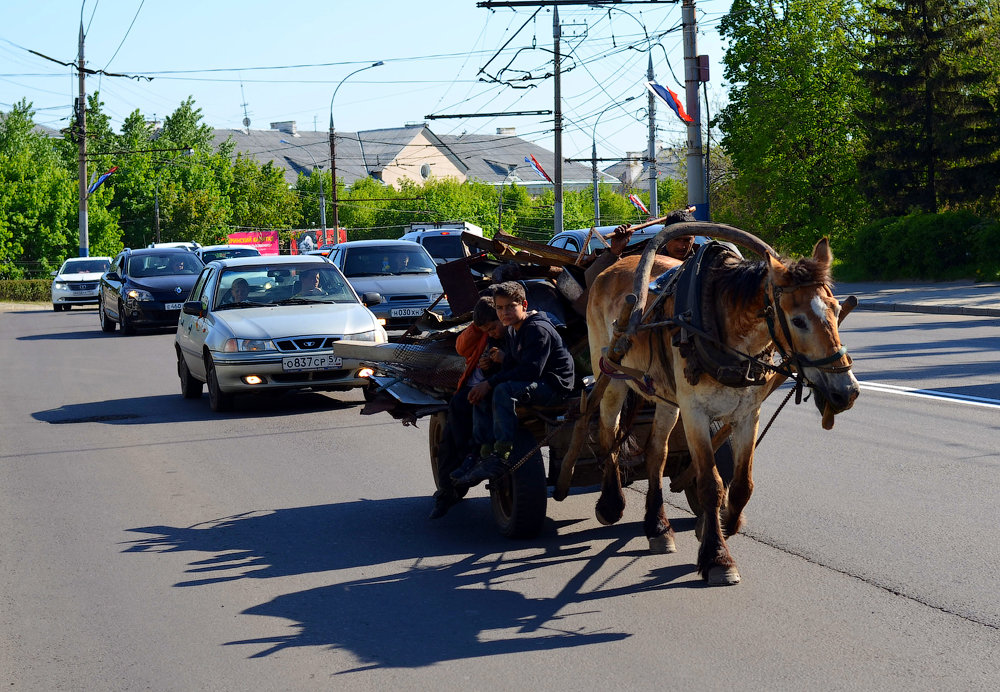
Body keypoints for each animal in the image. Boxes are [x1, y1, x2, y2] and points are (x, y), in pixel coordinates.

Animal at [572, 224, 860, 588]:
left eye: (835, 309)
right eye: (798, 321)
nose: (847, 391)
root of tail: (609, 269)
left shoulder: (747, 414)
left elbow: (741, 484)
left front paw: (724, 523)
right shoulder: (695, 412)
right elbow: (711, 483)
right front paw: (717, 557)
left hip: (666, 397)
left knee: (656, 453)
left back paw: (658, 526)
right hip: (611, 377)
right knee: (608, 436)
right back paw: (610, 504)